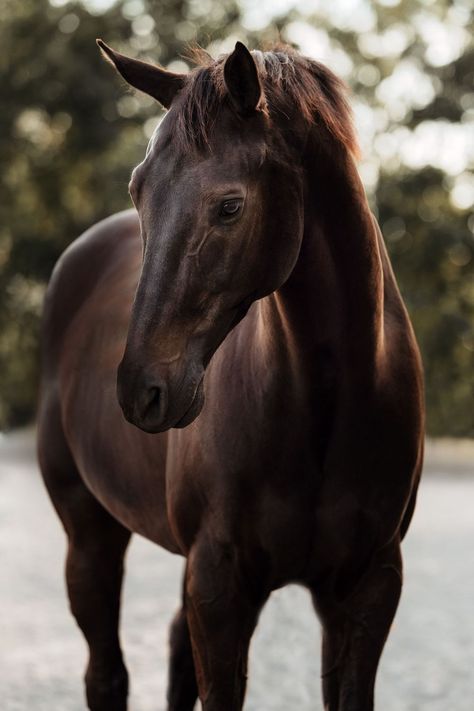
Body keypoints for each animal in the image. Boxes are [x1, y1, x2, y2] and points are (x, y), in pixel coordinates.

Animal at [37, 40, 422, 711]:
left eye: (229, 205)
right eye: (138, 189)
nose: (142, 391)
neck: (328, 401)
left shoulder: (368, 587)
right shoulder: (219, 586)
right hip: (89, 535)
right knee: (106, 674)